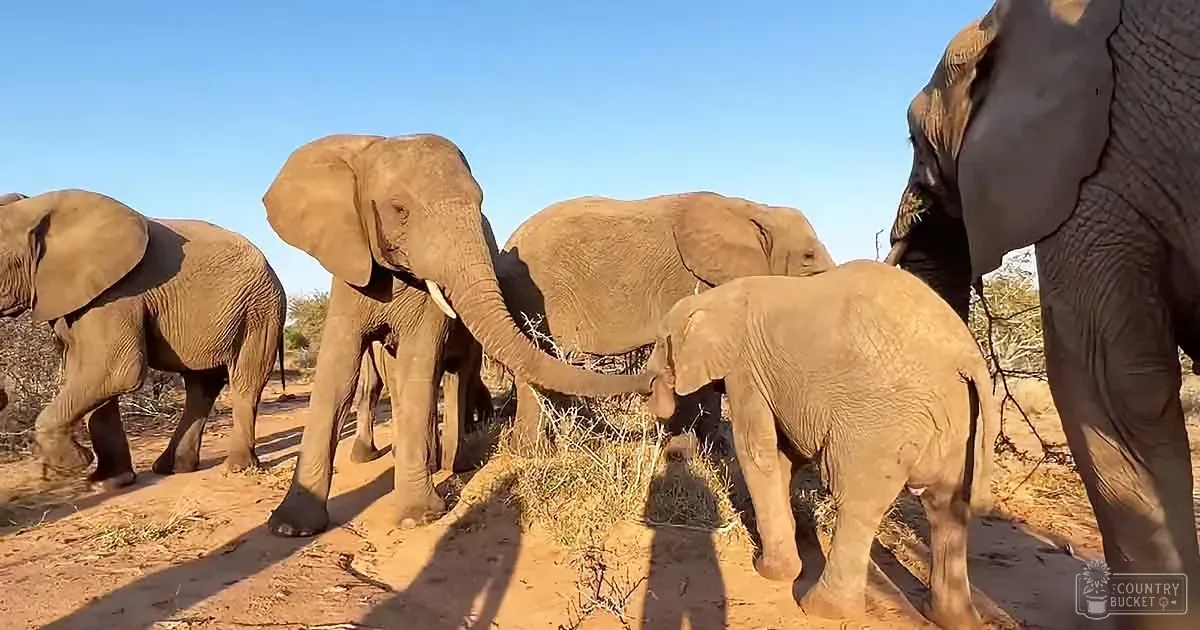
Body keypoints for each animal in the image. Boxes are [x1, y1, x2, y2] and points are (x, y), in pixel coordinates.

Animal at [0, 189, 287, 487]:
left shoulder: (119, 292)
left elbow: (117, 370)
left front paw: (73, 466)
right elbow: (85, 372)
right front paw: (108, 482)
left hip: (260, 310)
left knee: (245, 380)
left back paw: (236, 468)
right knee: (201, 386)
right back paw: (173, 468)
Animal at [496, 191, 835, 451]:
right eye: (808, 257)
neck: (754, 210)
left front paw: (712, 448)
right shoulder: (690, 283)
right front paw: (687, 452)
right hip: (539, 295)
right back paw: (535, 453)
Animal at [642, 261, 1000, 629]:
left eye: (660, 343)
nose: (648, 388)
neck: (715, 298)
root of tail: (969, 357)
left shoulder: (745, 368)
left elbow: (758, 451)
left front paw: (772, 571)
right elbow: (786, 456)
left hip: (882, 421)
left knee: (858, 503)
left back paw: (821, 609)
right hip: (957, 421)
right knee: (947, 510)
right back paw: (950, 617)